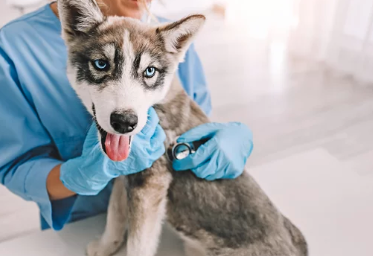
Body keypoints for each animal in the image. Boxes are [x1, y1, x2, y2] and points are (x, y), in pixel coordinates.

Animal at [58, 1, 308, 255]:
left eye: (150, 71)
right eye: (101, 64)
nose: (125, 122)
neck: (156, 107)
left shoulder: (150, 185)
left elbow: (138, 244)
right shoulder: (126, 174)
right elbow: (115, 212)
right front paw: (106, 245)